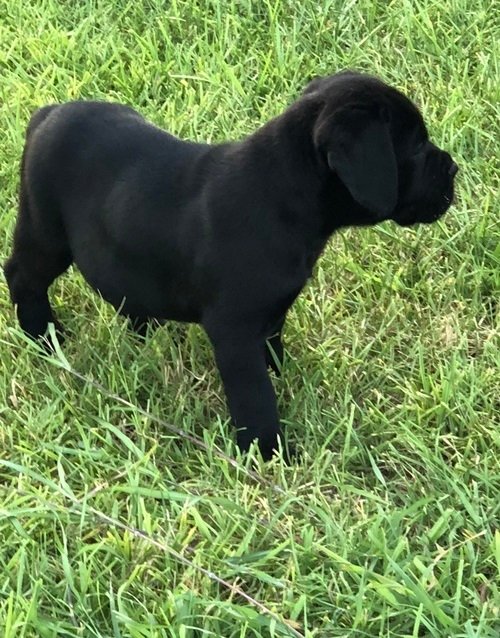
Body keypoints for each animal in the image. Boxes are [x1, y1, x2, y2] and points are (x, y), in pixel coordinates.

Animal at [5, 71, 458, 460]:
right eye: (416, 147)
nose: (453, 167)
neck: (282, 193)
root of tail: (47, 115)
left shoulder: (270, 312)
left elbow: (271, 349)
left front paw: (282, 376)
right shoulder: (234, 330)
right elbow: (254, 395)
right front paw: (269, 453)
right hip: (45, 233)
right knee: (22, 276)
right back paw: (44, 336)